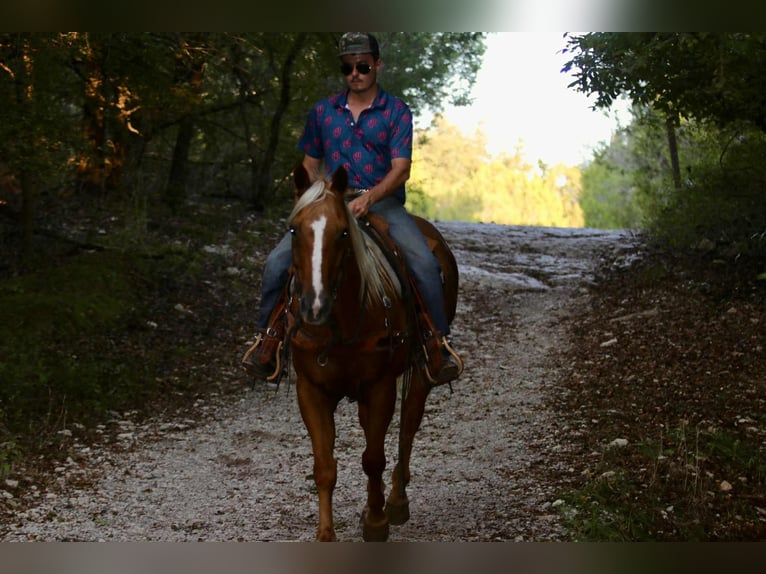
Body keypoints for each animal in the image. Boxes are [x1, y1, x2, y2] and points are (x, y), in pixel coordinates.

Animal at [285, 164, 460, 541]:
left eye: (341, 233)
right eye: (293, 229)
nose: (314, 306)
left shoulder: (380, 386)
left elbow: (374, 458)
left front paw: (378, 522)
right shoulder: (311, 389)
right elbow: (324, 466)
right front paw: (326, 534)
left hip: (421, 370)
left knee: (408, 428)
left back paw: (395, 500)